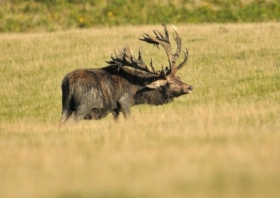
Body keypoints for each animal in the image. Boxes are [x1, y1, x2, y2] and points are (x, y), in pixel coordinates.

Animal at [59, 24, 192, 123]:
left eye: (178, 77)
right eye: (169, 82)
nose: (190, 87)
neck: (138, 91)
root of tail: (68, 83)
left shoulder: (114, 109)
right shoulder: (124, 101)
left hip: (66, 105)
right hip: (84, 106)